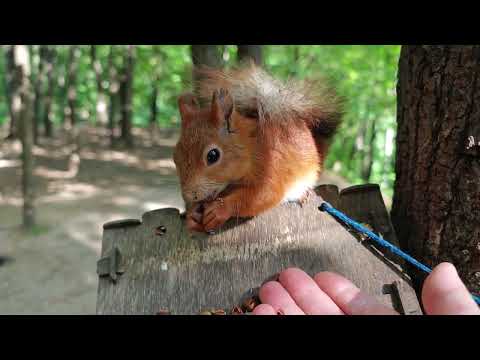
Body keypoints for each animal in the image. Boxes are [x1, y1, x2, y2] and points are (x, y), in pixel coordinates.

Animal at [172, 63, 342, 232]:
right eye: (175, 156)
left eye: (213, 155)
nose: (189, 196)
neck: (250, 147)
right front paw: (192, 214)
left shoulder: (271, 165)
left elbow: (263, 195)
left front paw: (220, 209)